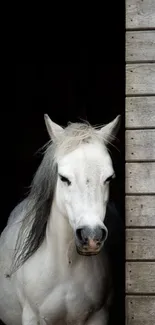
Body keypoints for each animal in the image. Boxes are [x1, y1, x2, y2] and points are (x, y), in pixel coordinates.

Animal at [0, 112, 120, 322]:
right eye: (64, 178)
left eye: (109, 178)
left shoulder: (98, 316)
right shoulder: (31, 316)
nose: (91, 236)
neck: (67, 266)